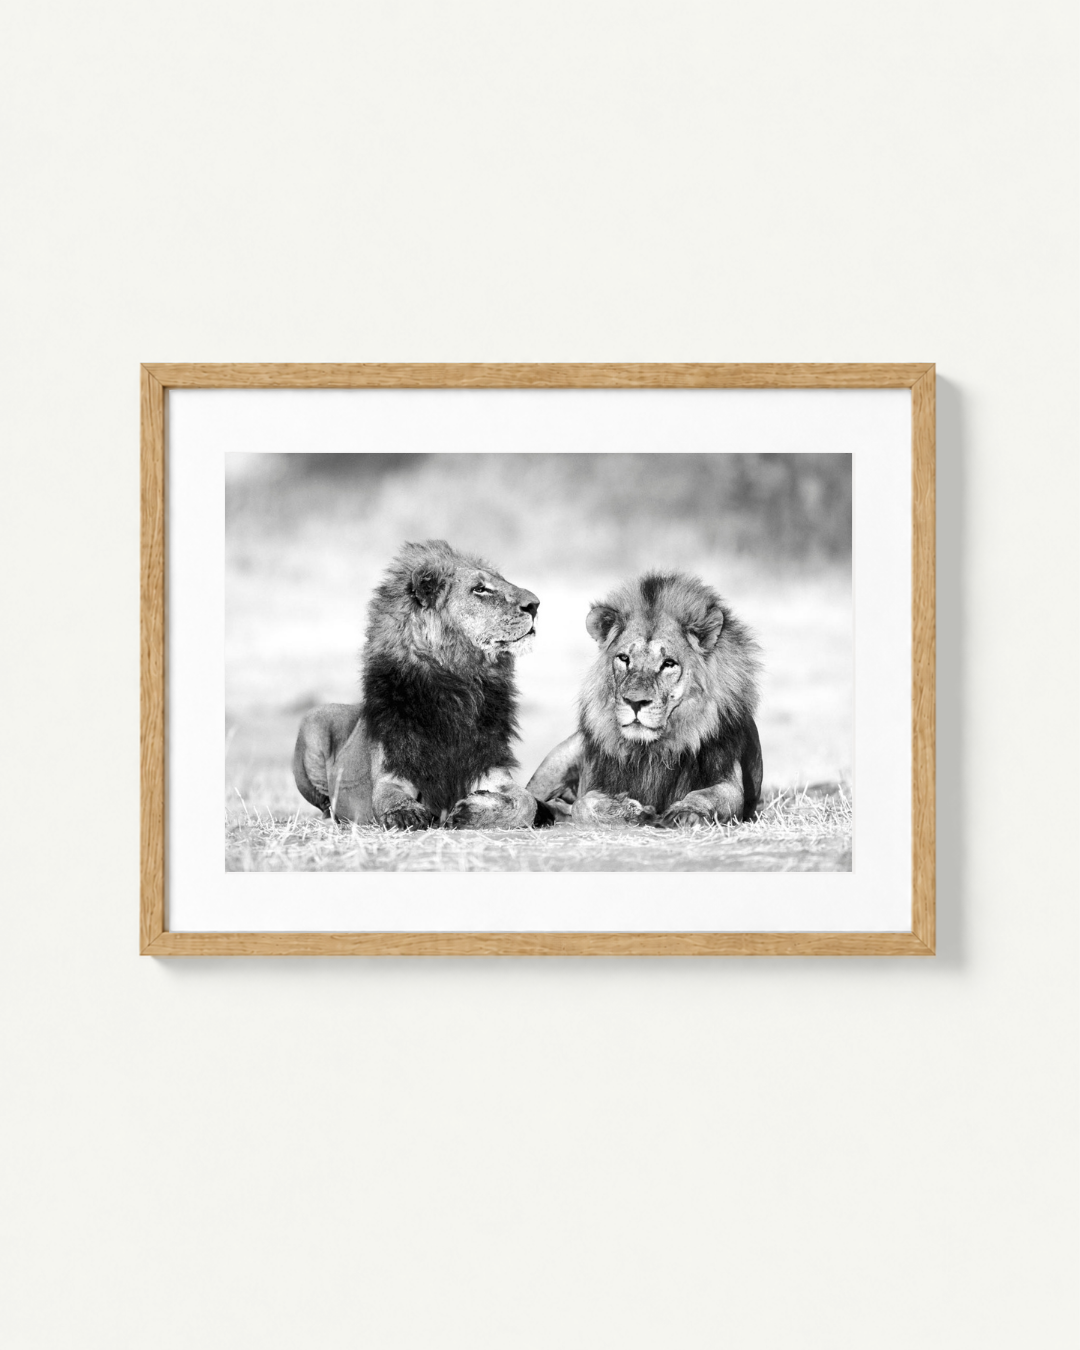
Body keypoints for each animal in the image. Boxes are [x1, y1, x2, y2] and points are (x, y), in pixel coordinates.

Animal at [293, 539, 552, 829]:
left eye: (501, 581)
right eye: (479, 589)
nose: (535, 604)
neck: (459, 685)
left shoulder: (491, 769)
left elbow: (526, 803)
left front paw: (469, 810)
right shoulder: (393, 771)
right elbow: (389, 798)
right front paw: (406, 814)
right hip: (314, 719)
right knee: (325, 804)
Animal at [526, 571, 763, 827]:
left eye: (668, 663)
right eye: (624, 658)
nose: (635, 702)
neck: (651, 751)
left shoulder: (727, 780)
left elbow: (706, 796)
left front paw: (685, 812)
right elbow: (583, 803)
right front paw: (628, 810)